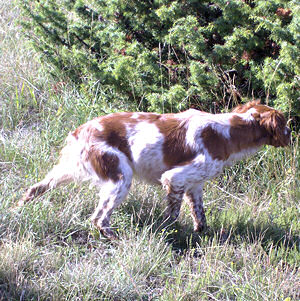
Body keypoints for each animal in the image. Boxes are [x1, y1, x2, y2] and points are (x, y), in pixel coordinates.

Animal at [19, 99, 290, 238]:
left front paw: (200, 234)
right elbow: (172, 215)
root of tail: (80, 131)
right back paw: (118, 239)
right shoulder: (174, 178)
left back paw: (18, 210)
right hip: (120, 177)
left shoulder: (195, 185)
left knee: (35, 188)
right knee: (99, 218)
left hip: (65, 171)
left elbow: (200, 215)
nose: (291, 133)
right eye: (285, 123)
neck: (228, 131)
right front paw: (172, 234)